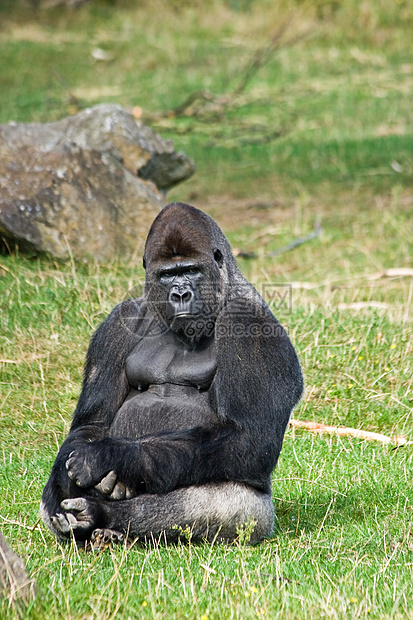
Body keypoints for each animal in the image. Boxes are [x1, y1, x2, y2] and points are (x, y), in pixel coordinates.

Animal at [40, 202, 302, 548]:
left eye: (190, 270)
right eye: (167, 275)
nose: (180, 294)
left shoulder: (251, 325)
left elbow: (249, 438)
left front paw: (110, 457)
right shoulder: (116, 323)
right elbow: (92, 423)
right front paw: (65, 479)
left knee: (230, 505)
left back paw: (102, 517)